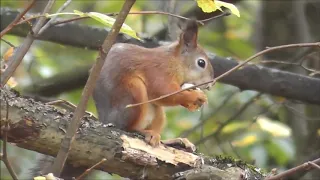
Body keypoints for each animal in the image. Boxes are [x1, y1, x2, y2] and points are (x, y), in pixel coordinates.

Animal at [92, 20, 212, 151]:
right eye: (201, 63)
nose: (211, 84)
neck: (175, 62)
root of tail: (106, 119)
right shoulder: (158, 71)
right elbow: (164, 93)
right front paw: (196, 96)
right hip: (133, 93)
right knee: (127, 128)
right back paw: (146, 132)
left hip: (158, 113)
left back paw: (175, 140)